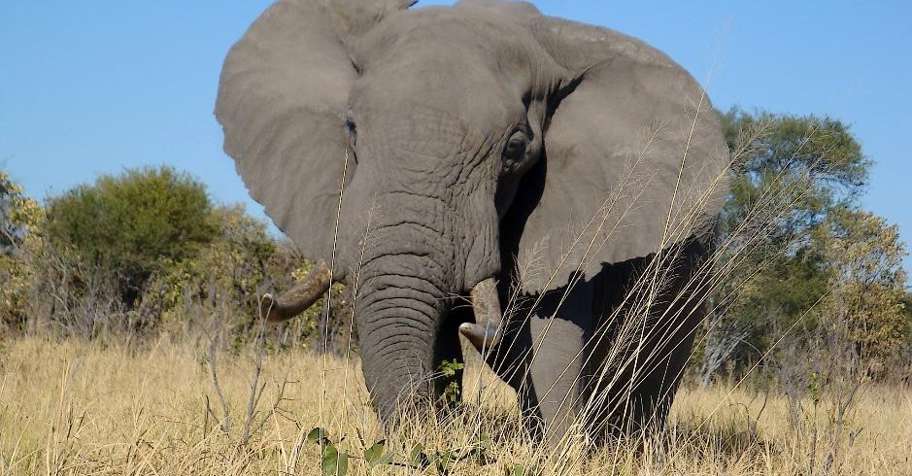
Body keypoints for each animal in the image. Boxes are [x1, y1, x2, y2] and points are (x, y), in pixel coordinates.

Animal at [215, 0, 729, 443]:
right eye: (351, 128)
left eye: (516, 148)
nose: (264, 298)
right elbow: (441, 339)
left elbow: (554, 344)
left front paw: (558, 454)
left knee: (647, 374)